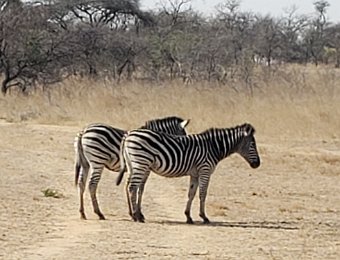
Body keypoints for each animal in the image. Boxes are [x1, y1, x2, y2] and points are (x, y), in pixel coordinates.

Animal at [117, 123, 260, 223]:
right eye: (252, 144)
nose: (257, 164)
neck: (213, 147)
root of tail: (129, 134)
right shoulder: (205, 170)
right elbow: (203, 194)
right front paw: (204, 217)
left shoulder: (195, 174)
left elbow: (191, 194)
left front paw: (188, 217)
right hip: (141, 162)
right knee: (132, 187)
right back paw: (136, 216)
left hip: (133, 164)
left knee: (130, 186)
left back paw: (135, 215)